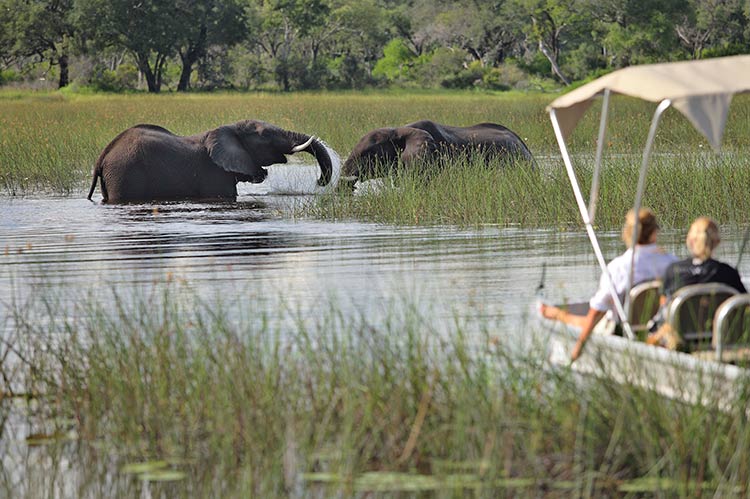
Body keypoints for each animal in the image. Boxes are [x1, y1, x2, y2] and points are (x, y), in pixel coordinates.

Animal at [87, 120, 334, 202]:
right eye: (265, 136)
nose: (319, 181)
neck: (230, 128)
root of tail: (103, 156)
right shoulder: (214, 174)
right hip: (125, 173)